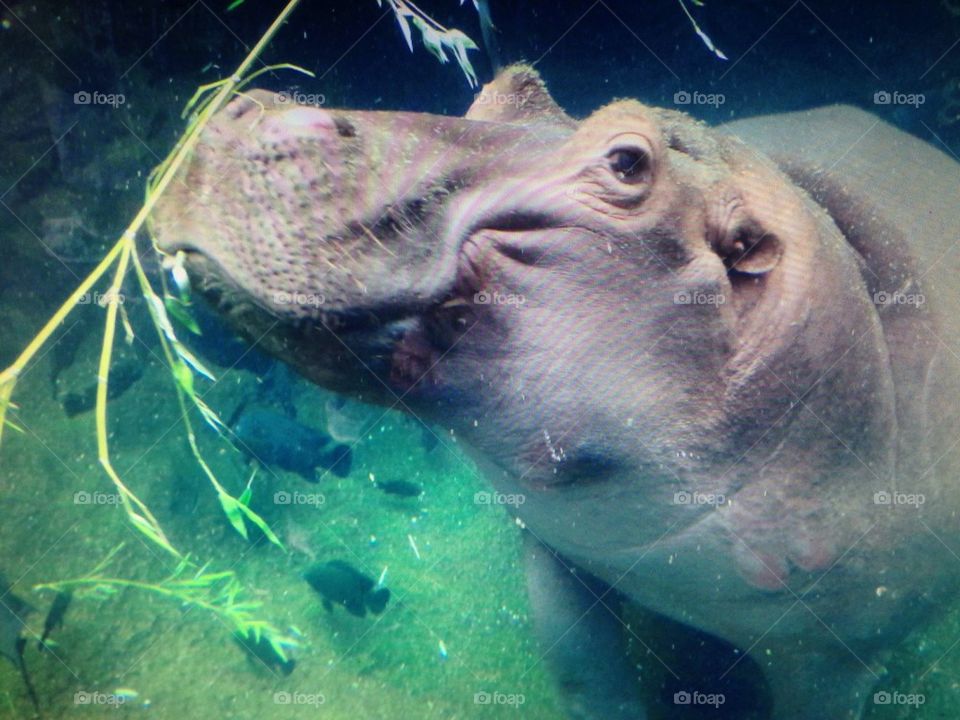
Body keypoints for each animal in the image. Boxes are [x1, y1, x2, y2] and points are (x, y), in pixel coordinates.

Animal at [150, 65, 960, 719]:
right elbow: (583, 673)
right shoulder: (558, 539)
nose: (247, 108)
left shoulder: (836, 659)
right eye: (507, 84)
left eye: (627, 162)